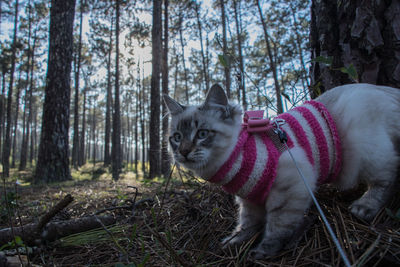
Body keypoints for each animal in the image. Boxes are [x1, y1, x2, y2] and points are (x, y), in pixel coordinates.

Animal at [162, 84, 400, 260]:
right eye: (177, 138)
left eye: (202, 134)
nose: (183, 152)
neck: (238, 157)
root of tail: (387, 90)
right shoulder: (250, 198)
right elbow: (247, 223)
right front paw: (235, 241)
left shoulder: (289, 188)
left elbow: (277, 227)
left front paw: (262, 252)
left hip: (367, 150)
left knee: (387, 176)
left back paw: (364, 206)